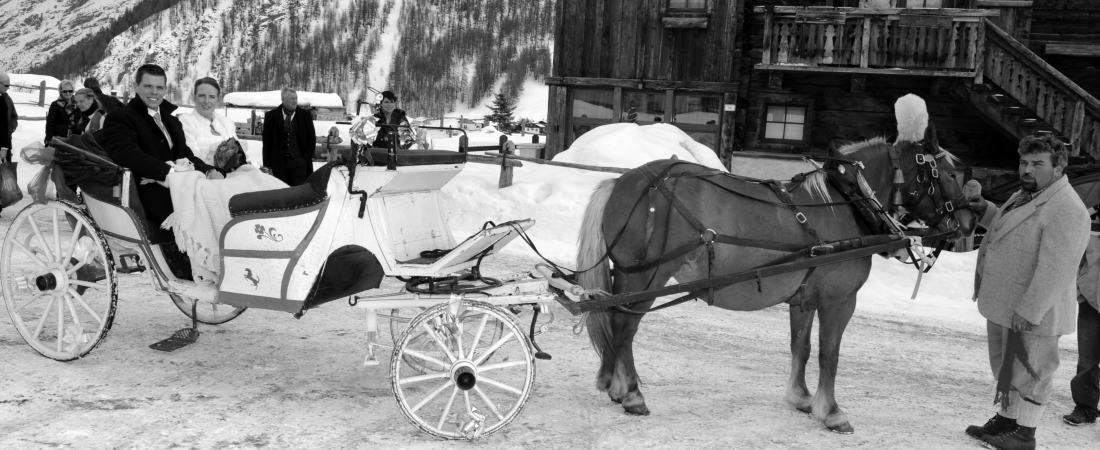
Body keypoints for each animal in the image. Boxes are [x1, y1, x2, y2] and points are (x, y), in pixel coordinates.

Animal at [576, 112, 981, 431]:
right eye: (948, 173)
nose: (969, 223)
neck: (847, 203)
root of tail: (622, 181)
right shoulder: (839, 301)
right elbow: (829, 354)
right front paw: (831, 412)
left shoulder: (803, 299)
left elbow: (801, 347)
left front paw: (801, 398)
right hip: (648, 275)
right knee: (625, 327)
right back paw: (630, 393)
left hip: (627, 273)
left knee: (611, 318)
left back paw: (612, 382)